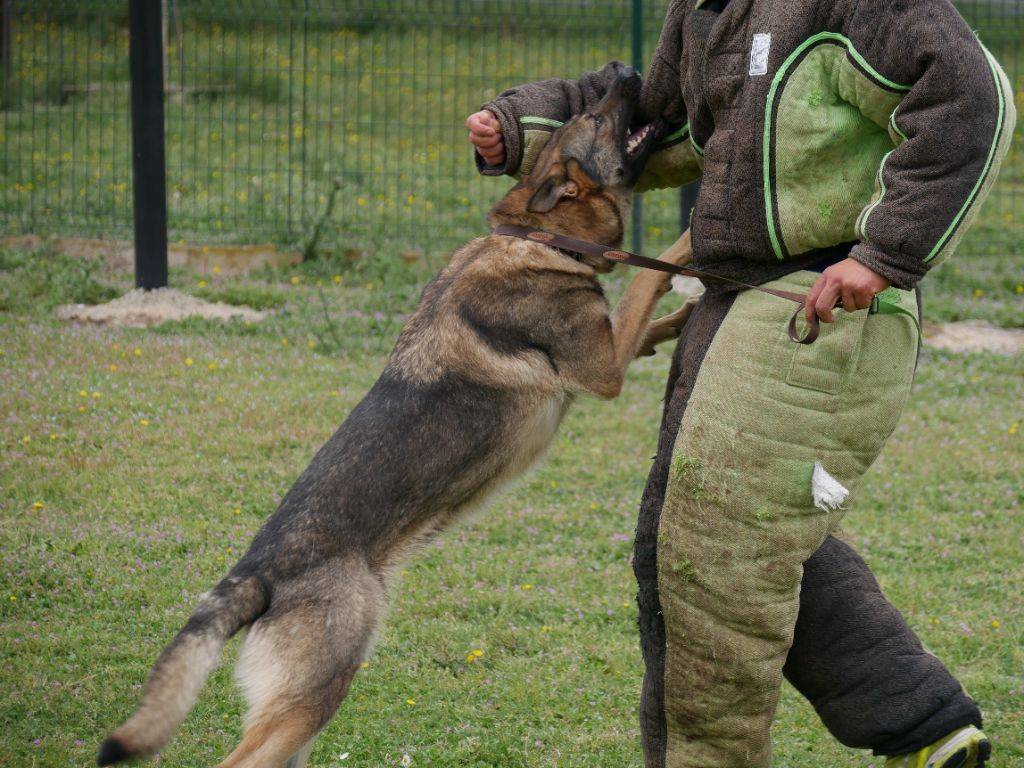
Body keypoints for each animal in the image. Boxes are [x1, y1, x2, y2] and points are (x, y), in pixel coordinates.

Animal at [99, 67, 692, 768]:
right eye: (597, 117)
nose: (624, 72)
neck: (539, 237)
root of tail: (257, 572)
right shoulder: (603, 369)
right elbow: (648, 282)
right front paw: (698, 249)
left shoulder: (613, 348)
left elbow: (653, 315)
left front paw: (699, 306)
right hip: (318, 688)